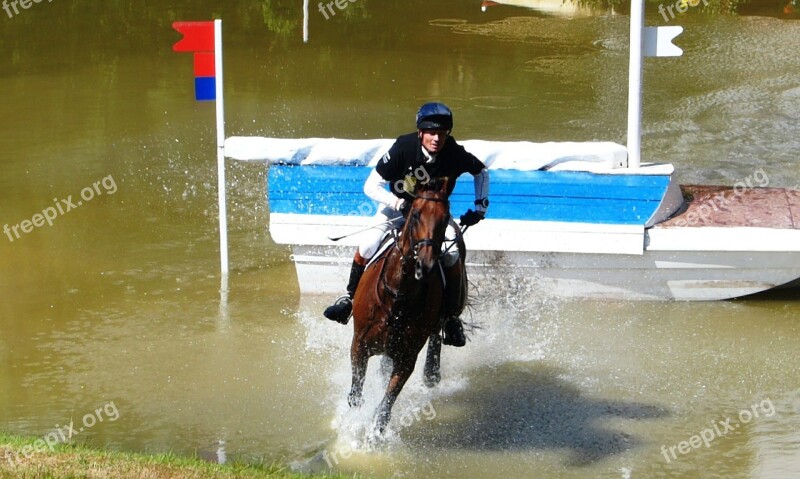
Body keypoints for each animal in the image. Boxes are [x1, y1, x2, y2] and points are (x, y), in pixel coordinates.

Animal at [346, 176, 466, 436]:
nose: (426, 263)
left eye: (444, 218)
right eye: (416, 215)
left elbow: (385, 408)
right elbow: (356, 395)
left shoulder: (406, 358)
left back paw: (432, 372)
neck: (397, 298)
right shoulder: (359, 345)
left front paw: (373, 436)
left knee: (438, 333)